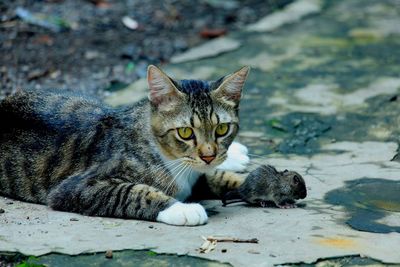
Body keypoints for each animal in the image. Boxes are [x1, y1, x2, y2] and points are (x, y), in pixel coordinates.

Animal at [0, 65, 250, 226]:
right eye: (186, 132)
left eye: (221, 129)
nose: (209, 156)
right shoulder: (76, 188)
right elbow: (132, 192)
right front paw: (180, 208)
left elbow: (219, 177)